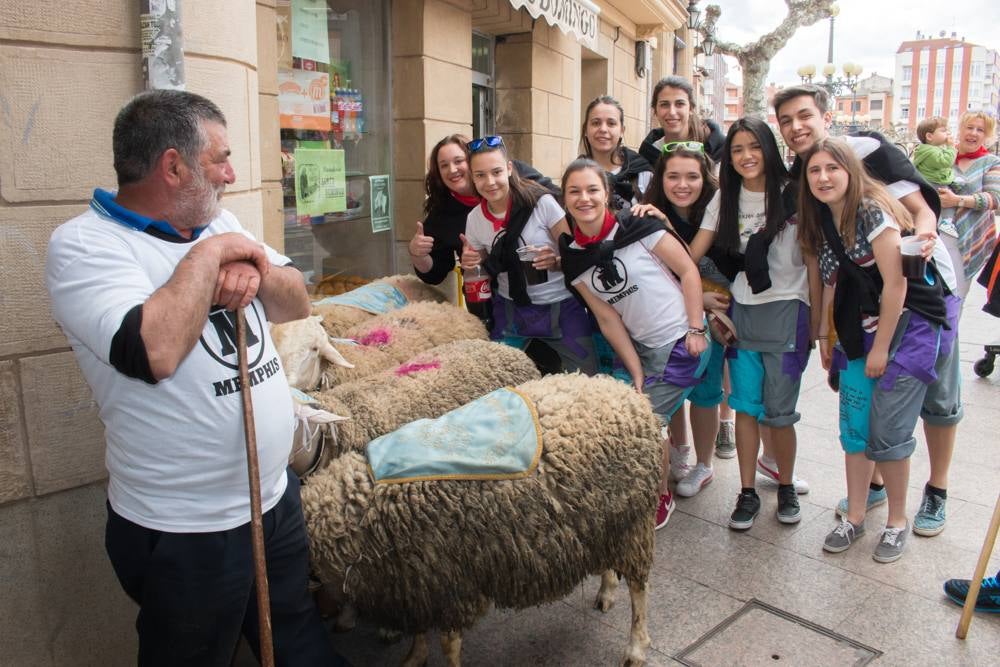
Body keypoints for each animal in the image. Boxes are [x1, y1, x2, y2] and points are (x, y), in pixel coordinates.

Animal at [304, 376, 664, 667]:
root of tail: (629, 395)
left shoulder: (451, 585)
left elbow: (448, 644)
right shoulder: (418, 586)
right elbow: (419, 632)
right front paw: (413, 658)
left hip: (633, 523)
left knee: (640, 590)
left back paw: (635, 648)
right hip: (603, 518)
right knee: (608, 561)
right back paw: (606, 590)